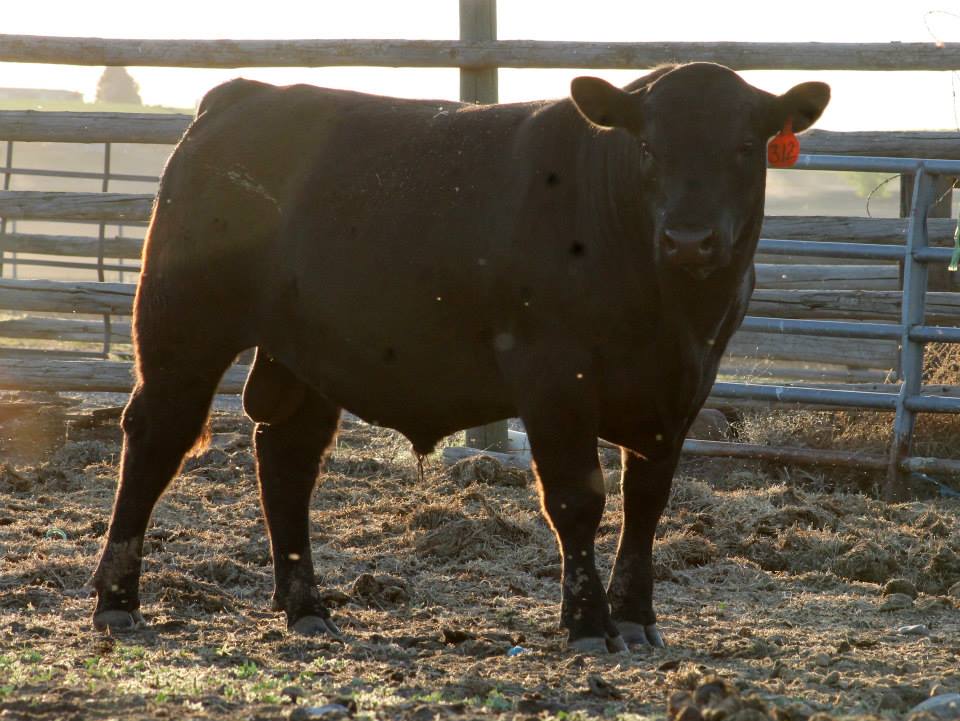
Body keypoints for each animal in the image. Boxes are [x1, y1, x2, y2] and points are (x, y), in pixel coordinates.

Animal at [91, 62, 829, 654]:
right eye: (648, 146)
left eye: (745, 147)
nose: (689, 239)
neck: (668, 308)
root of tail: (245, 92)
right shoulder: (553, 376)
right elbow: (577, 498)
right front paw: (589, 624)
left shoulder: (682, 387)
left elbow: (646, 503)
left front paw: (636, 617)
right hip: (182, 326)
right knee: (157, 437)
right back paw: (117, 600)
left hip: (305, 352)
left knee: (287, 459)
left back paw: (307, 608)